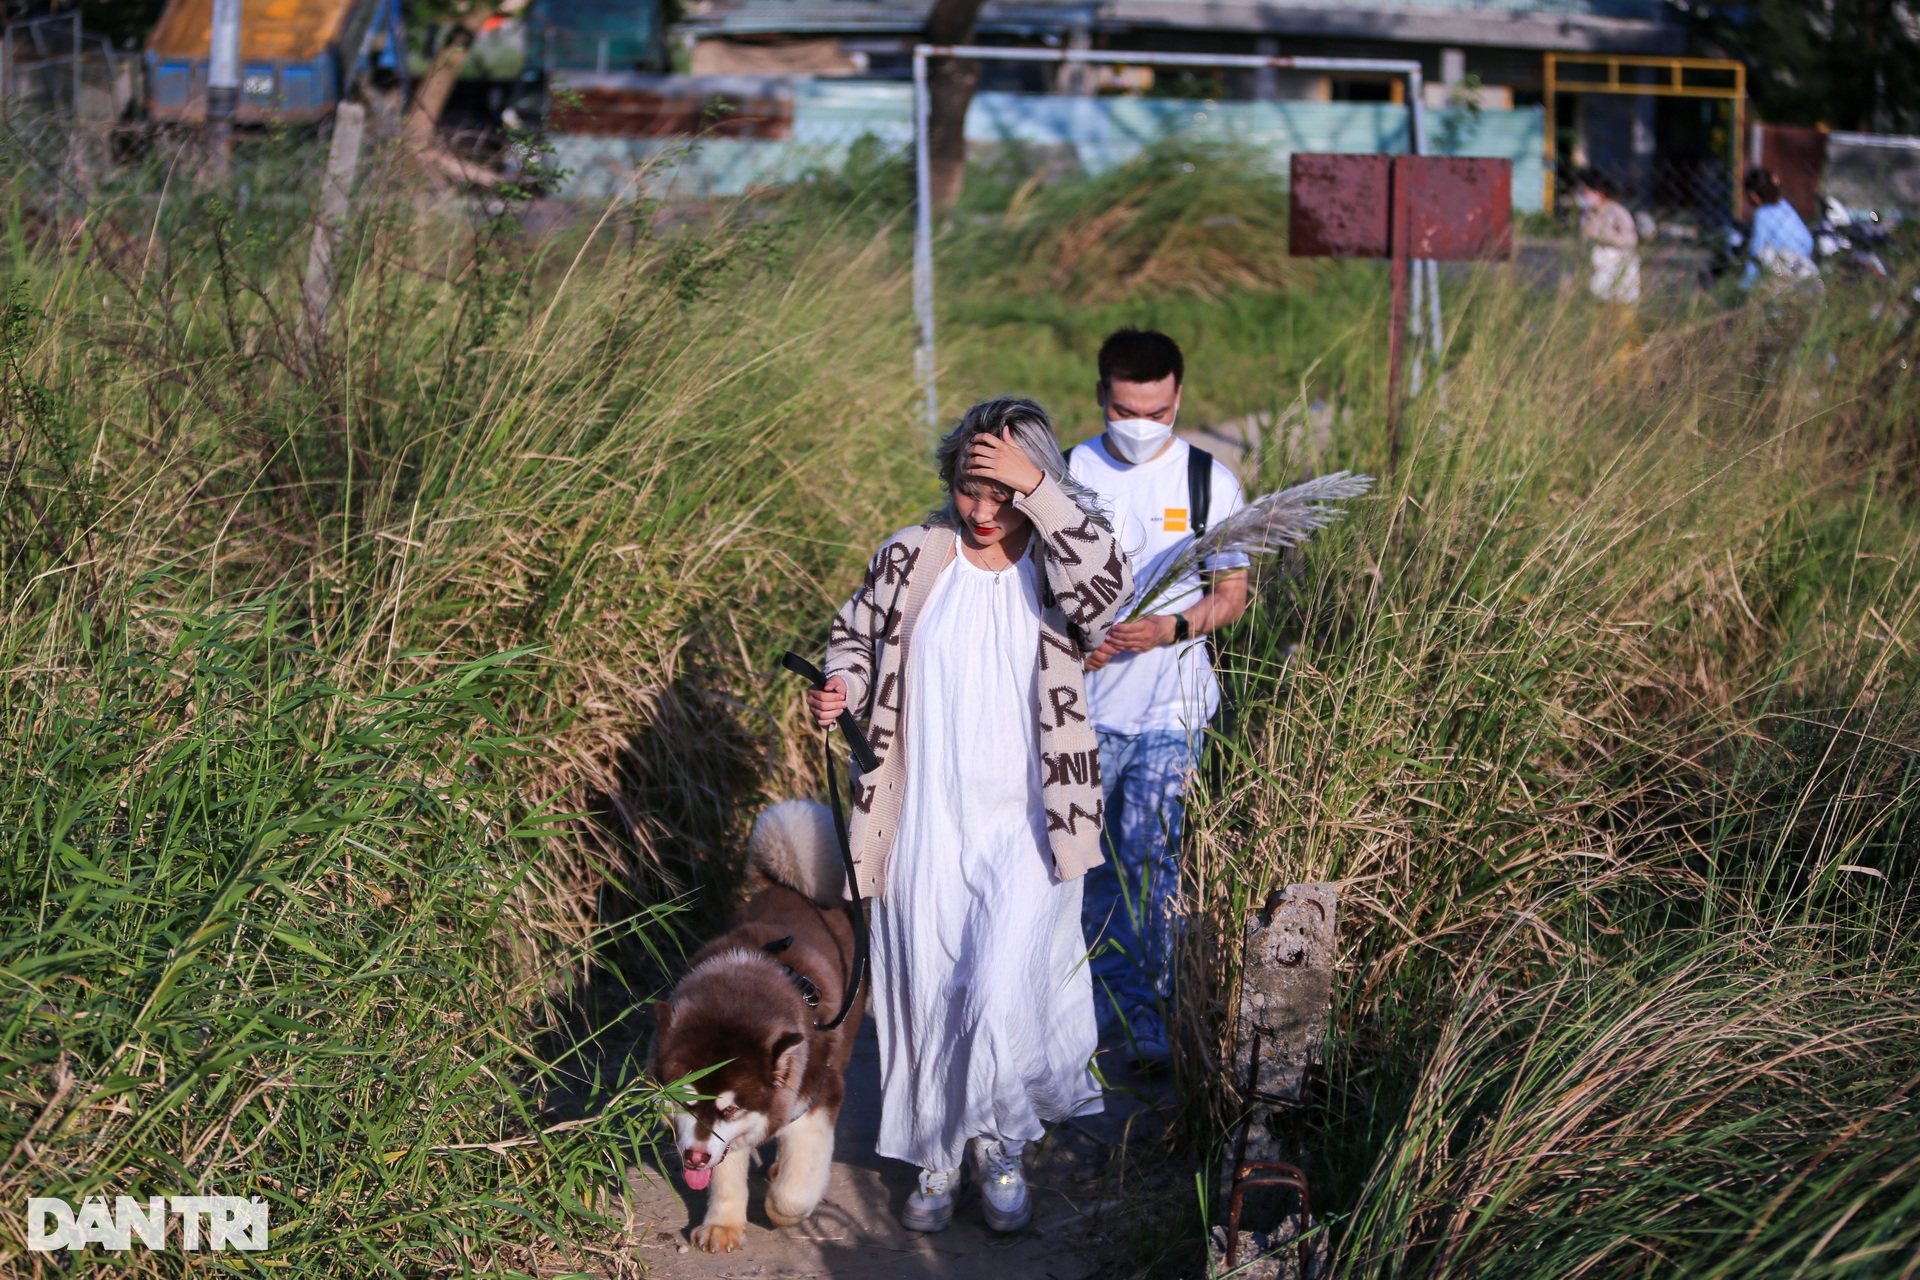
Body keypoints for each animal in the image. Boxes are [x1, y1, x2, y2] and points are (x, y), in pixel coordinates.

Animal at [652, 802, 864, 1251]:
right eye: (683, 1100)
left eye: (731, 1107)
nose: (693, 1158)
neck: (738, 995)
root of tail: (795, 887)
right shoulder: (722, 1140)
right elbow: (726, 1167)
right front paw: (723, 1223)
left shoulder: (820, 1094)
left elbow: (793, 1191)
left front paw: (780, 1210)